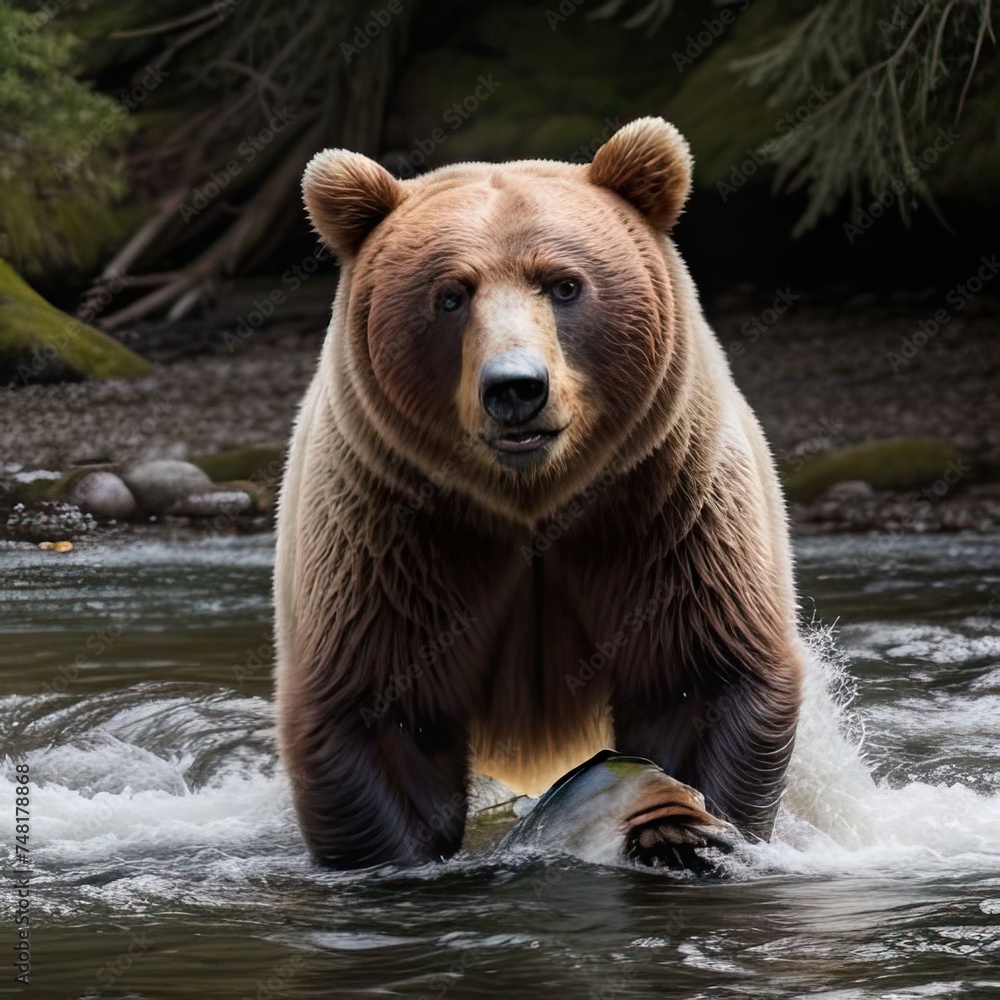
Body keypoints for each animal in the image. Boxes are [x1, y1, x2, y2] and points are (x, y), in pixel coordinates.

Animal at [274, 117, 805, 869]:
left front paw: (681, 824)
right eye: (451, 294)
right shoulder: (389, 534)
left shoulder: (668, 511)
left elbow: (701, 671)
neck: (532, 505)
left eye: (564, 285)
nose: (516, 388)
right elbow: (378, 707)